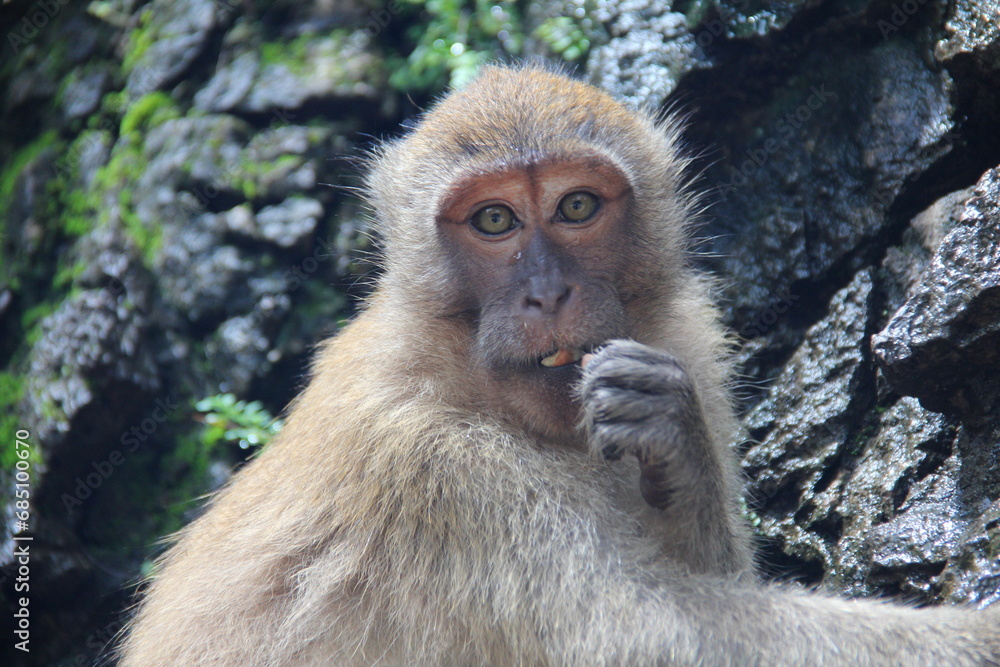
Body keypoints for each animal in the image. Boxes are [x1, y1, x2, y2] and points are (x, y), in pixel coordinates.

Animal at [119, 65, 1000, 665]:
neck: (462, 379)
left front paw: (675, 439)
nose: (546, 292)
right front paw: (976, 635)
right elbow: (652, 637)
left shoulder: (688, 338)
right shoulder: (442, 479)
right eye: (494, 220)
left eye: (577, 205)